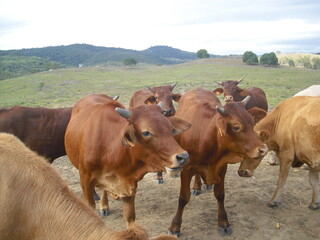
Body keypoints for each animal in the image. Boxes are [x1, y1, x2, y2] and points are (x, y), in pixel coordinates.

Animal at [63, 94, 191, 227]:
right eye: (146, 132)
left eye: (170, 128)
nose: (183, 157)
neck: (110, 148)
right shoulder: (85, 180)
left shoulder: (129, 185)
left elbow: (129, 217)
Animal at [168, 88, 268, 236]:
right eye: (236, 127)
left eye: (252, 121)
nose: (263, 149)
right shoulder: (186, 169)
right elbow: (183, 198)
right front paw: (175, 227)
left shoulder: (222, 168)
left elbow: (220, 195)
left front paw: (223, 222)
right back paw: (197, 187)